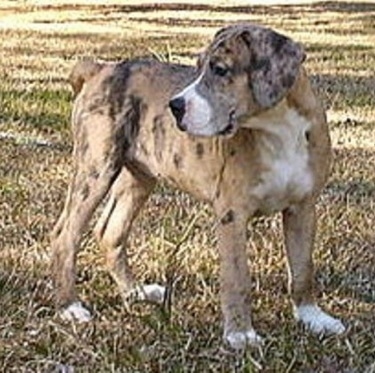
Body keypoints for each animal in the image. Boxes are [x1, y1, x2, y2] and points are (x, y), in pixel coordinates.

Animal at [50, 24, 346, 348]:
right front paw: (241, 334)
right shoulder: (231, 214)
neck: (277, 128)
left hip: (138, 178)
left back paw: (136, 292)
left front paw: (312, 316)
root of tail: (101, 69)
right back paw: (69, 306)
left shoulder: (303, 208)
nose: (174, 106)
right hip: (96, 168)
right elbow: (237, 276)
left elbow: (303, 268)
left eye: (219, 69)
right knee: (66, 234)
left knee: (110, 230)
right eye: (198, 66)